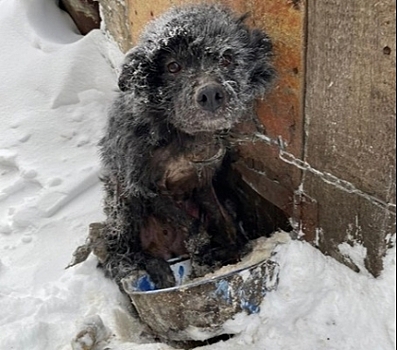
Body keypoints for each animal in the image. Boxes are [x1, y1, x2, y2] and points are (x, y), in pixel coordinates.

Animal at [86, 4, 274, 290]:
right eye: (173, 66)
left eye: (227, 59)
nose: (210, 94)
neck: (180, 136)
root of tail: (168, 249)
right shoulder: (146, 188)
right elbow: (194, 228)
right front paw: (203, 262)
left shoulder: (203, 181)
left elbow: (220, 219)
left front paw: (234, 251)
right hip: (124, 206)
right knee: (119, 252)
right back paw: (154, 269)